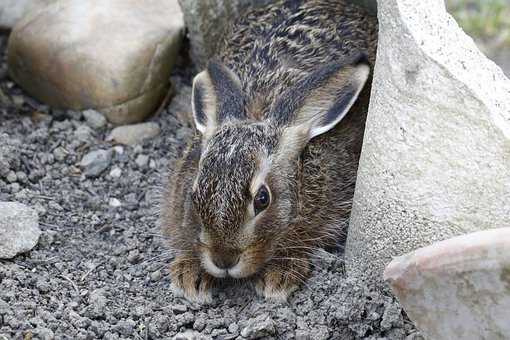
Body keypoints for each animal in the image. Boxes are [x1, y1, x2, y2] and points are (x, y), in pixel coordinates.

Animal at [160, 0, 378, 302]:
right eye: (194, 196)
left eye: (263, 199)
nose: (223, 259)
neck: (259, 112)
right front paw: (188, 275)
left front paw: (279, 278)